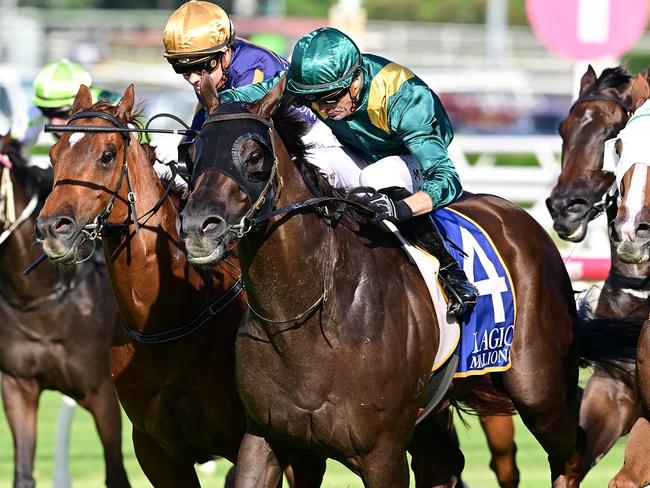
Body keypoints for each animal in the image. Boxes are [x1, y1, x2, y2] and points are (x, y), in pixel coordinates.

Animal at [177, 73, 584, 488]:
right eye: (190, 154)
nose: (198, 227)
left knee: (571, 454)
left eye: (254, 155)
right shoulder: (265, 437)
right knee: (445, 465)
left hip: (539, 389)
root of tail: (517, 215)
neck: (307, 316)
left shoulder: (382, 454)